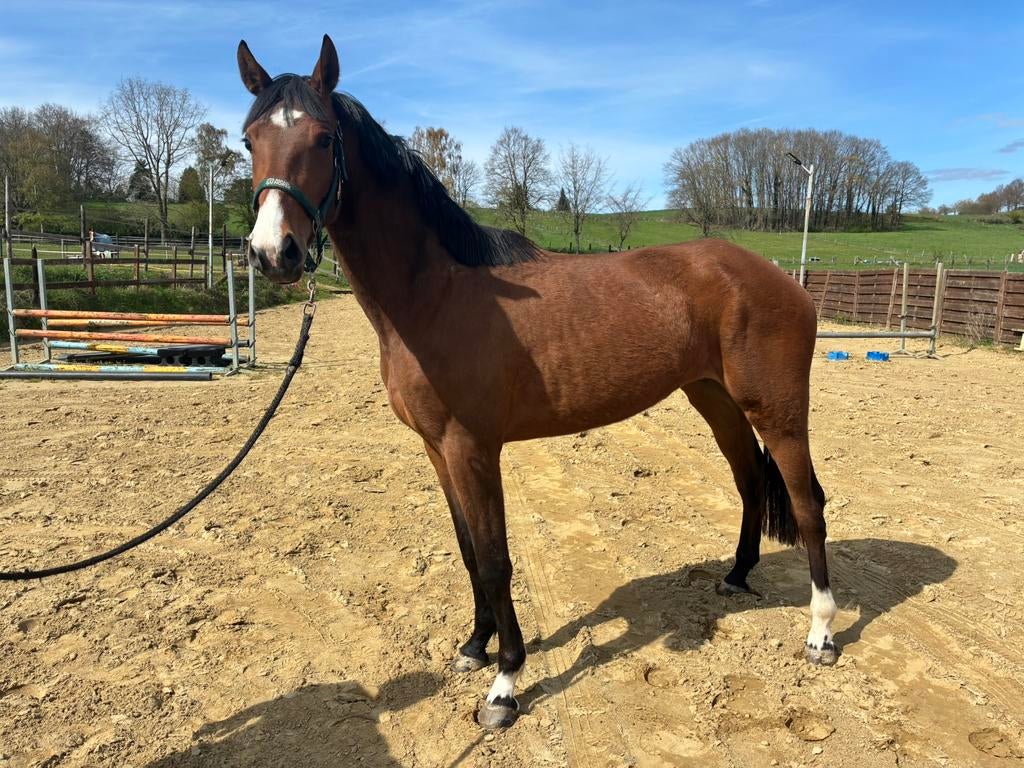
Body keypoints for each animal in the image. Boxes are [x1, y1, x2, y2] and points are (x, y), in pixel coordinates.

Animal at [237, 35, 836, 730]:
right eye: (250, 140)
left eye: (324, 138)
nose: (272, 252)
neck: (436, 294)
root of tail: (783, 280)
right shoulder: (437, 450)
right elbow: (469, 551)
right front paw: (474, 646)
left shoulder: (473, 449)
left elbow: (496, 559)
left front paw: (505, 682)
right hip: (713, 397)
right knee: (747, 481)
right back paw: (737, 576)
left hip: (779, 411)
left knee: (808, 503)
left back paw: (821, 633)